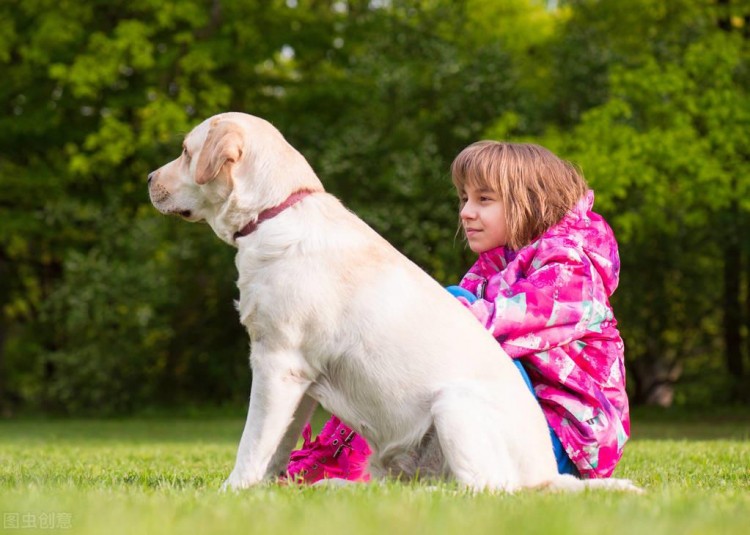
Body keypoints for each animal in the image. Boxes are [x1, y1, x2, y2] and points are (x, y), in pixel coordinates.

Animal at [148, 113, 640, 494]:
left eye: (186, 152)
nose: (149, 179)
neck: (274, 211)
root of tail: (548, 477)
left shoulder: (275, 362)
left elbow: (253, 440)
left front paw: (233, 491)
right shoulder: (299, 380)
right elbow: (277, 444)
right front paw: (266, 492)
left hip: (453, 406)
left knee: (482, 490)